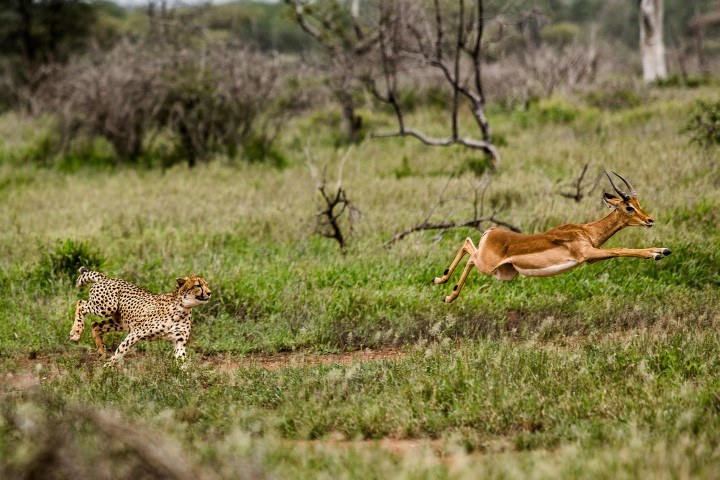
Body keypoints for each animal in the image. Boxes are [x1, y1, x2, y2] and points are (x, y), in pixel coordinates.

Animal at [70, 268, 211, 366]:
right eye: (198, 285)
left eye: (207, 284)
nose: (209, 293)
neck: (183, 308)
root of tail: (107, 278)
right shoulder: (136, 332)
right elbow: (121, 350)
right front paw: (108, 367)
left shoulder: (179, 341)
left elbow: (181, 360)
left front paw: (184, 380)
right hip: (107, 307)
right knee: (81, 303)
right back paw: (76, 332)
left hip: (120, 322)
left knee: (96, 325)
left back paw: (101, 352)